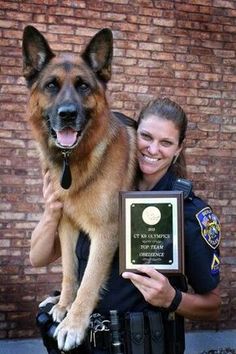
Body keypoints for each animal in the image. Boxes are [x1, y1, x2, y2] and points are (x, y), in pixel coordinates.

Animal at [22, 27, 136, 352]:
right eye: (51, 85)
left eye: (83, 86)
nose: (68, 114)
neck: (73, 163)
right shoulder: (66, 223)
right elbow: (70, 269)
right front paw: (63, 304)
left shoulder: (107, 232)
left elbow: (88, 280)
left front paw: (74, 323)